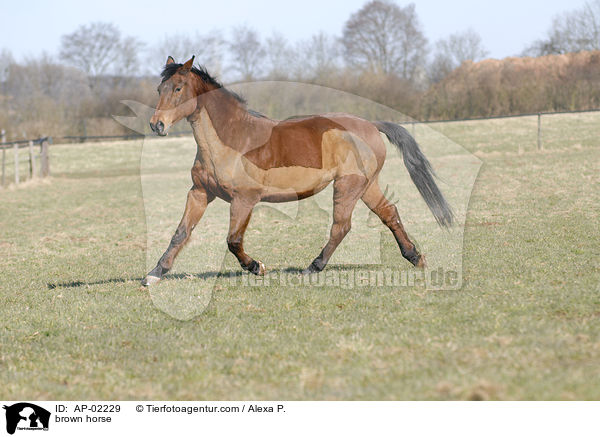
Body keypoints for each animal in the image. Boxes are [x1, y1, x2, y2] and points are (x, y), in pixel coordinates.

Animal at [141, 55, 452, 286]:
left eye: (178, 88)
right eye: (159, 89)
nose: (157, 125)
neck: (233, 138)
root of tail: (371, 125)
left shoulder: (244, 199)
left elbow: (233, 240)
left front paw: (257, 267)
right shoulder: (200, 192)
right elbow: (181, 233)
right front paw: (154, 274)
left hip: (348, 185)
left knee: (341, 226)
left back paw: (313, 267)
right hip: (367, 185)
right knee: (389, 214)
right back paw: (415, 257)